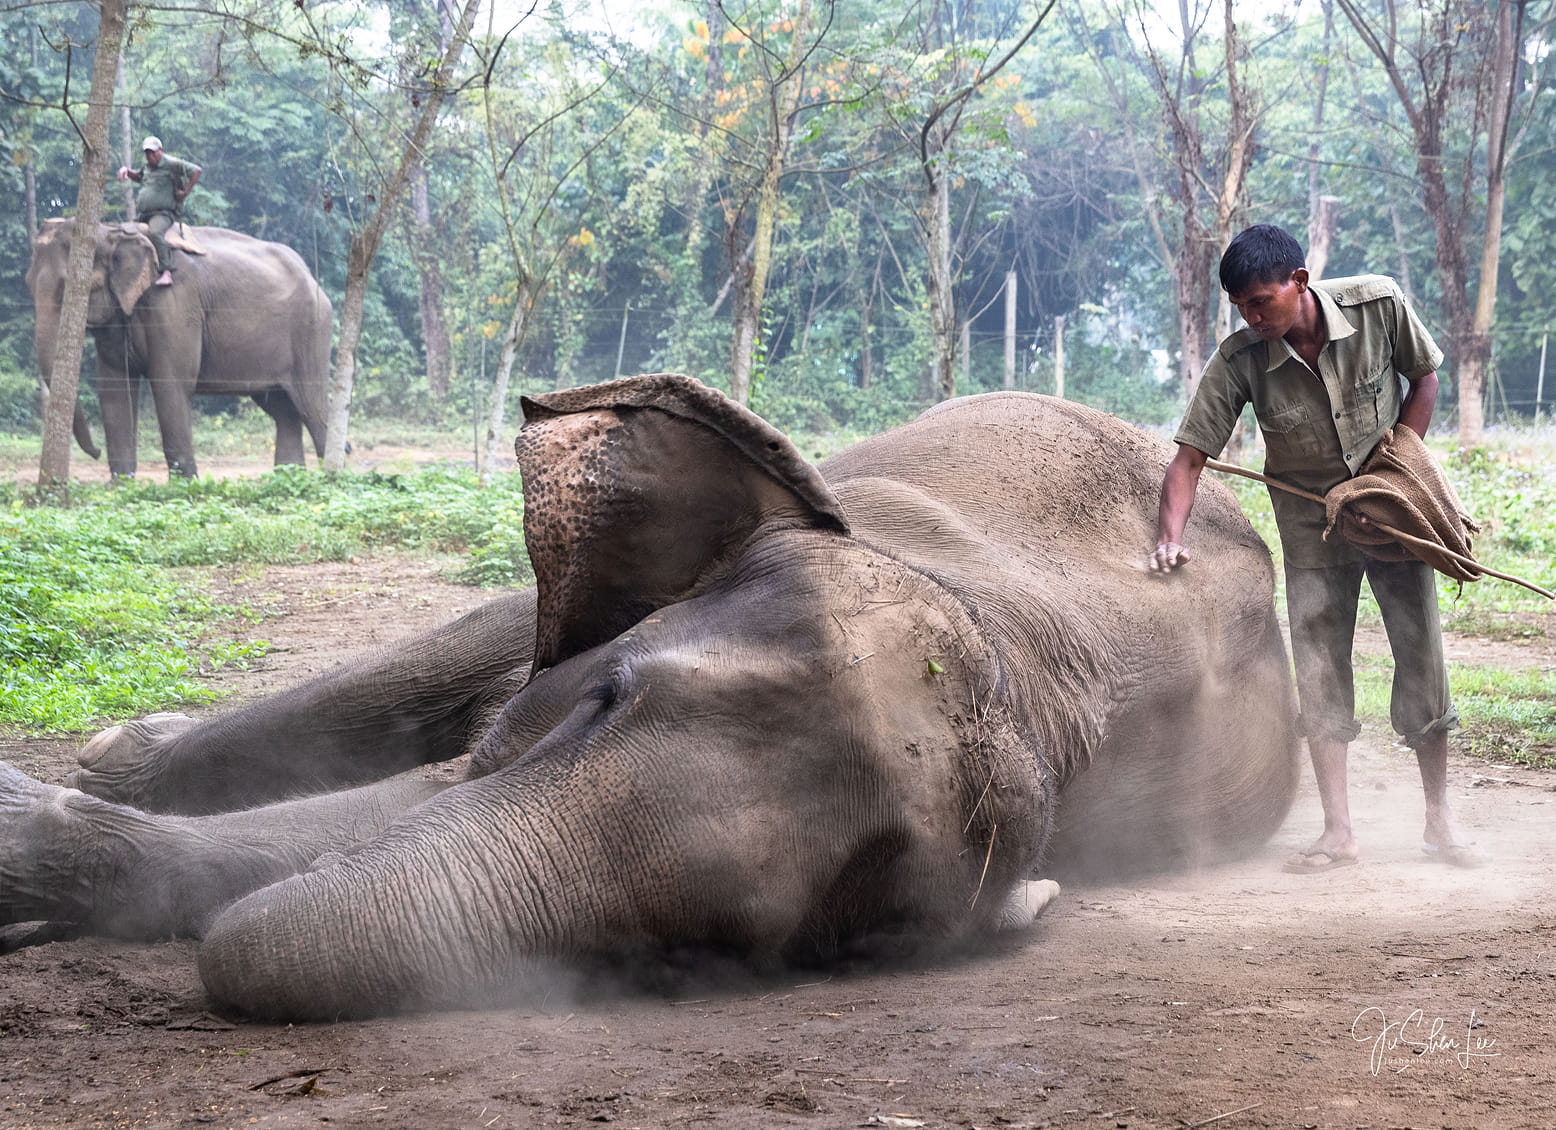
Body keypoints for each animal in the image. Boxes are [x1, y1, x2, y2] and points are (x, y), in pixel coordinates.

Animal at [25, 218, 332, 478]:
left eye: (74, 288)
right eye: (27, 281)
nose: (95, 452)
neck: (112, 230)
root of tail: (313, 277)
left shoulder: (175, 302)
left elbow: (170, 384)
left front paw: (185, 486)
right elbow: (113, 389)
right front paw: (119, 487)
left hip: (310, 332)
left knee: (312, 407)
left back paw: (332, 477)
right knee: (283, 411)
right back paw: (289, 478)